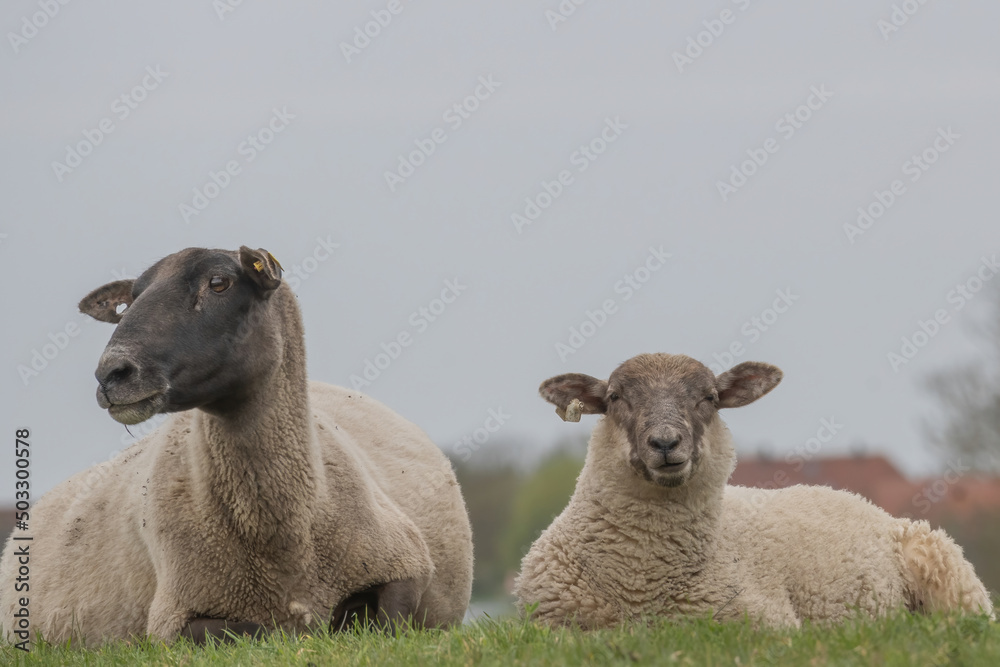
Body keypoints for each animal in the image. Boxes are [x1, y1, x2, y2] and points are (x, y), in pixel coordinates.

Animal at [0, 246, 473, 646]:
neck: (287, 543)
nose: (112, 373)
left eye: (219, 283)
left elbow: (389, 620)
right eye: (130, 299)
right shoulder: (175, 617)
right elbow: (261, 632)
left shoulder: (405, 563)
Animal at [514, 353, 994, 629]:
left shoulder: (758, 624)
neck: (640, 581)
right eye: (615, 397)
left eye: (709, 398)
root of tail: (868, 505)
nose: (666, 443)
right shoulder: (550, 626)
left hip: (954, 578)